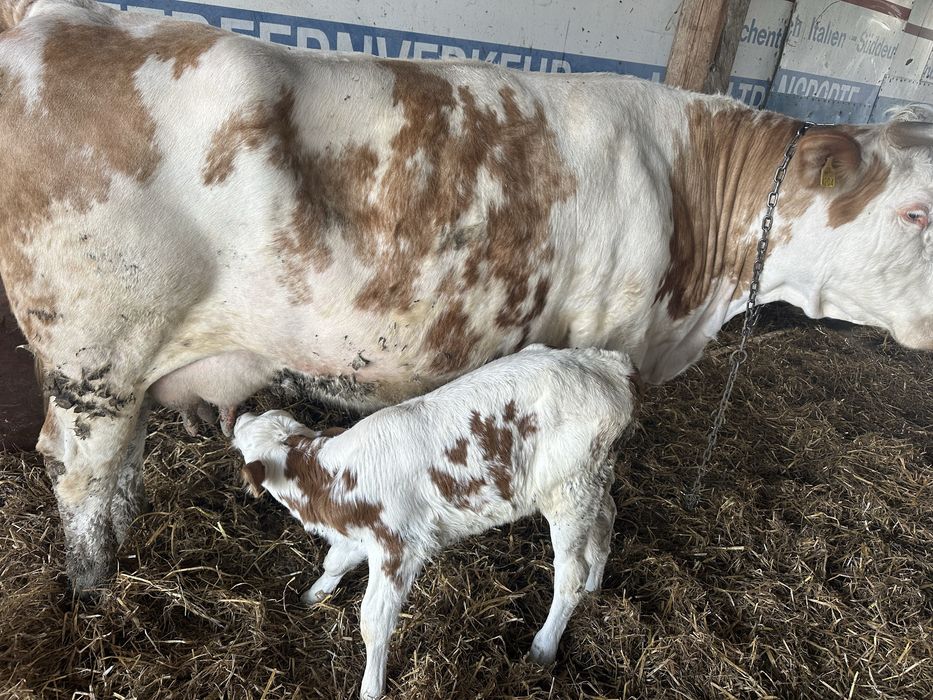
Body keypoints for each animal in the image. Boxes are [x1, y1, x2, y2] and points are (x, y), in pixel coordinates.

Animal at [0, 0, 930, 592]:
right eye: (916, 209)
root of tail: (53, 18)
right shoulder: (603, 340)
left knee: (121, 463)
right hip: (94, 354)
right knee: (78, 469)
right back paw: (95, 586)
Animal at [232, 345, 637, 699]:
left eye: (243, 440)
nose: (239, 417)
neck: (334, 479)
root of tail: (606, 366)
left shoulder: (398, 547)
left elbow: (373, 621)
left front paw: (371, 687)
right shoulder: (361, 536)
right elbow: (334, 562)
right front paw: (313, 595)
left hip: (567, 492)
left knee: (569, 575)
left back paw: (544, 646)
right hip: (594, 480)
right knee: (606, 520)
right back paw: (595, 586)